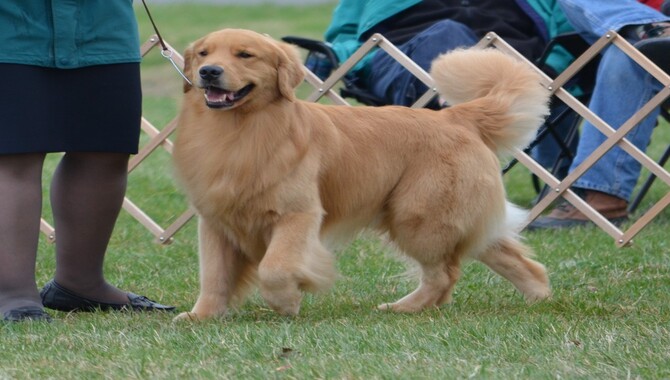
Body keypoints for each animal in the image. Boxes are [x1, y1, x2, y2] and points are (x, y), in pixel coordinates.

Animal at [173, 29, 552, 320]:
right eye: (204, 53)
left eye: (245, 55)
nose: (208, 71)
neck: (241, 130)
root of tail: (455, 116)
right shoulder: (216, 221)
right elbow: (214, 276)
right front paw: (202, 315)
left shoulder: (297, 214)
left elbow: (274, 267)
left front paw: (287, 301)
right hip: (450, 219)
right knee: (514, 261)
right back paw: (539, 299)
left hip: (418, 218)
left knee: (443, 275)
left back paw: (402, 308)